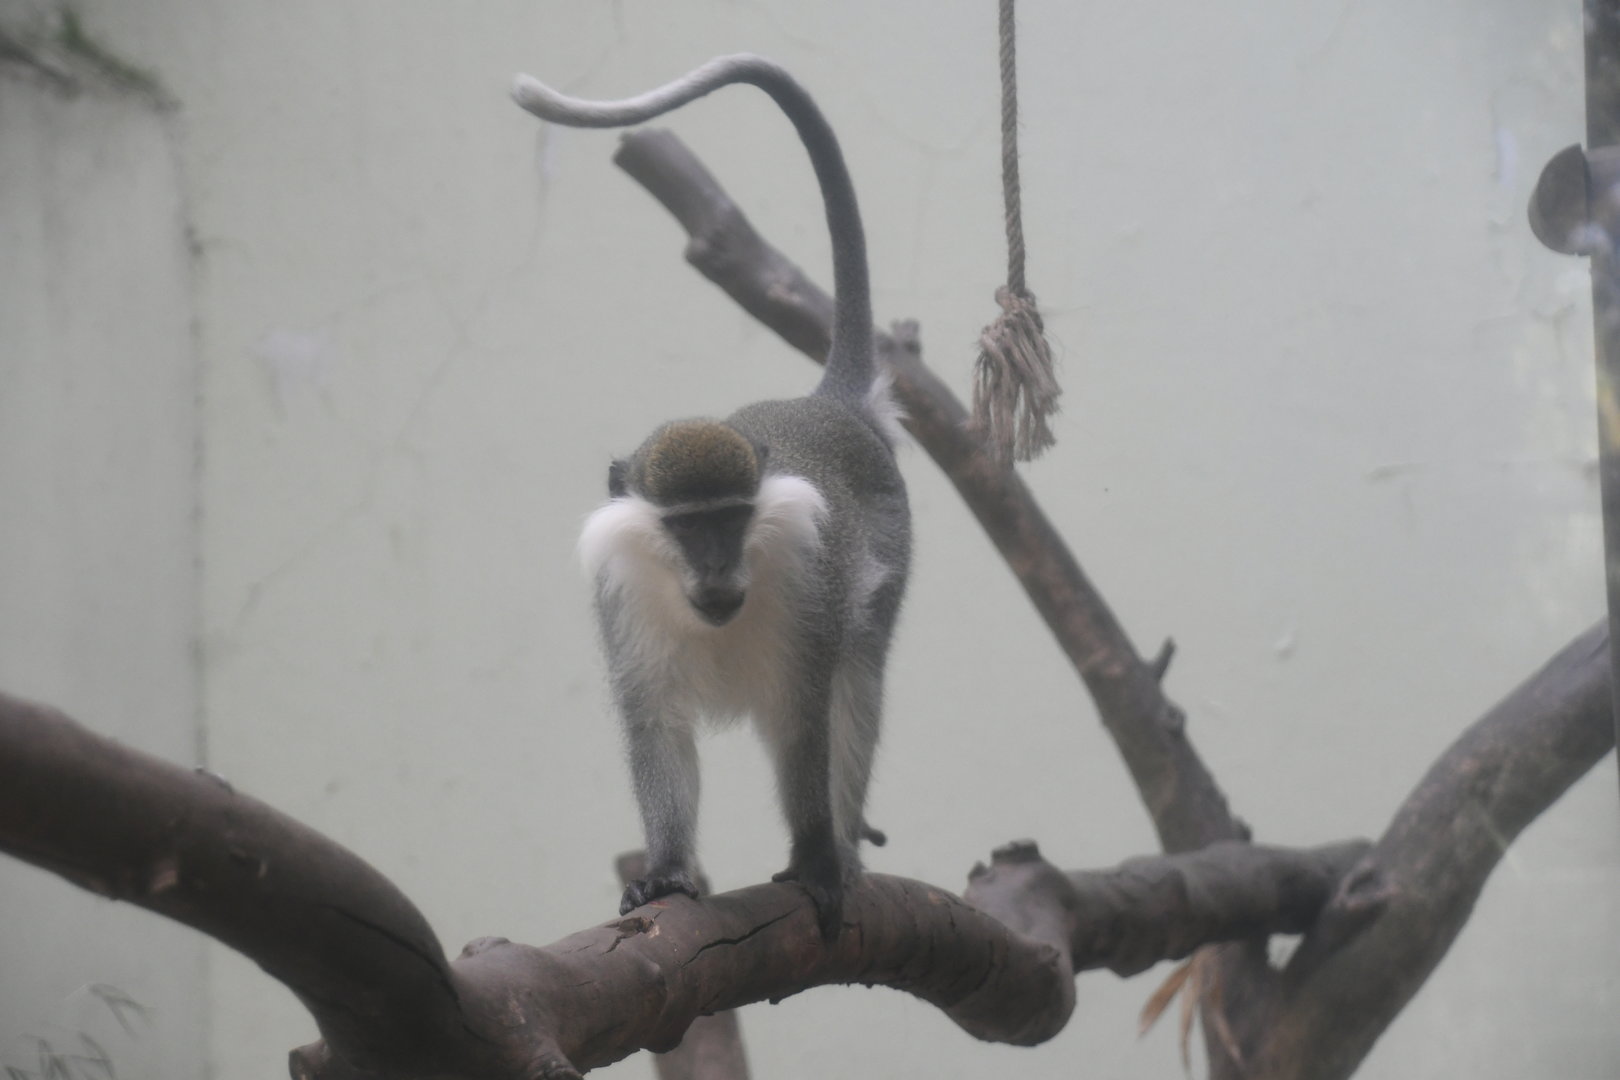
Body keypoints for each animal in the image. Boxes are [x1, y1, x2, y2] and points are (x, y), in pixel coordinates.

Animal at [512, 55, 910, 939]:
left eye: (734, 521)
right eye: (689, 528)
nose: (721, 572)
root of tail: (829, 403)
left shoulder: (808, 593)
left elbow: (806, 718)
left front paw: (816, 857)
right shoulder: (622, 598)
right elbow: (655, 725)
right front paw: (665, 871)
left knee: (859, 683)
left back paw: (846, 847)